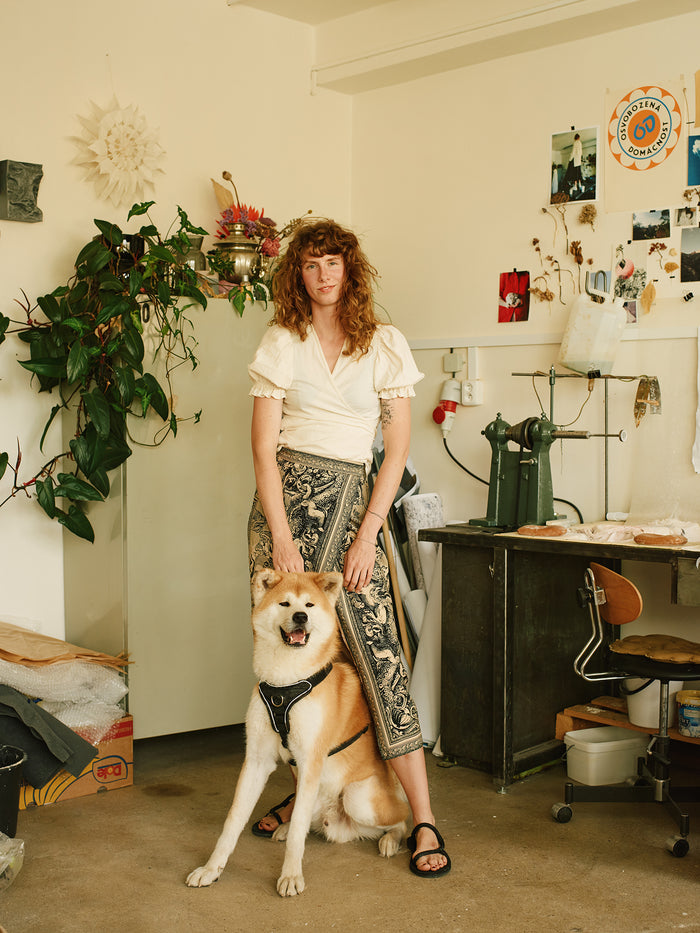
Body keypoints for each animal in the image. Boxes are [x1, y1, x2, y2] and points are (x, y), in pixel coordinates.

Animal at [186, 568, 410, 896]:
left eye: (309, 605)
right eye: (285, 603)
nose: (301, 616)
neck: (285, 683)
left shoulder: (310, 762)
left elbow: (297, 840)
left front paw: (291, 876)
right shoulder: (256, 761)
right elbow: (232, 822)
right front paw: (211, 869)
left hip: (357, 798)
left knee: (401, 818)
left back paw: (391, 841)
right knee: (303, 823)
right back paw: (283, 826)